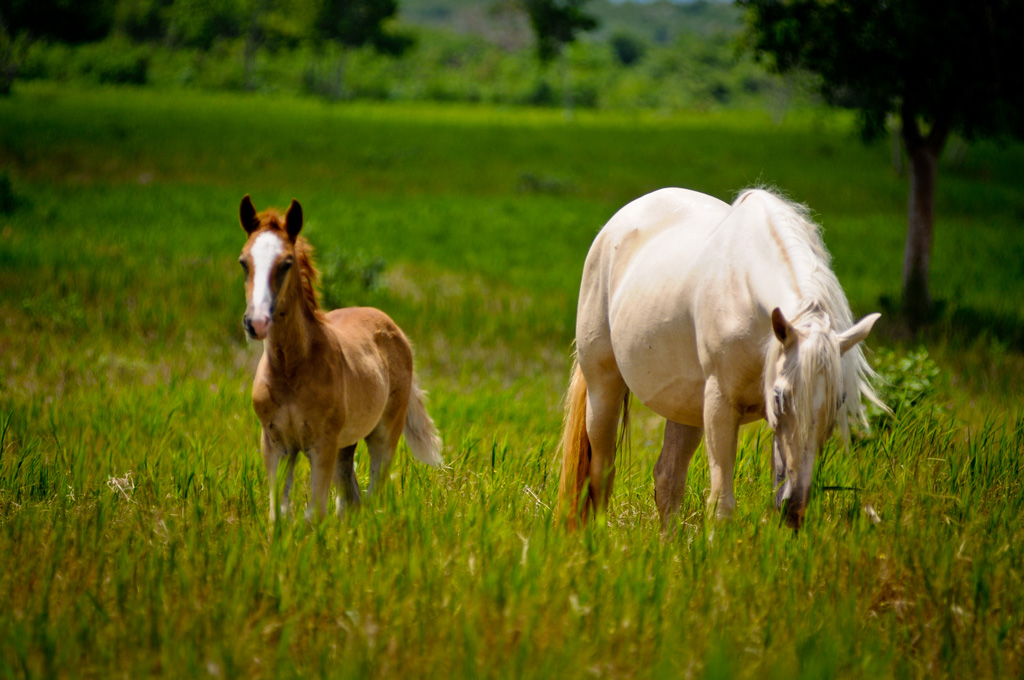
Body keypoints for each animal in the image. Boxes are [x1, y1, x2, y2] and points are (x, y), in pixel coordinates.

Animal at [236, 195, 442, 522]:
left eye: (286, 263)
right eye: (244, 262)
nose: (256, 323)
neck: (291, 370)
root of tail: (396, 331)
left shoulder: (322, 445)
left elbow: (313, 514)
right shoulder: (275, 445)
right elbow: (278, 513)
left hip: (382, 435)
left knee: (372, 496)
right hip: (345, 444)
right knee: (350, 498)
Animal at [557, 187, 885, 530]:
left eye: (838, 401)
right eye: (780, 397)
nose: (794, 508)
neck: (745, 292)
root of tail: (612, 229)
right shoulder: (722, 406)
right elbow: (721, 505)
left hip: (684, 408)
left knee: (668, 479)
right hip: (603, 389)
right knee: (601, 474)